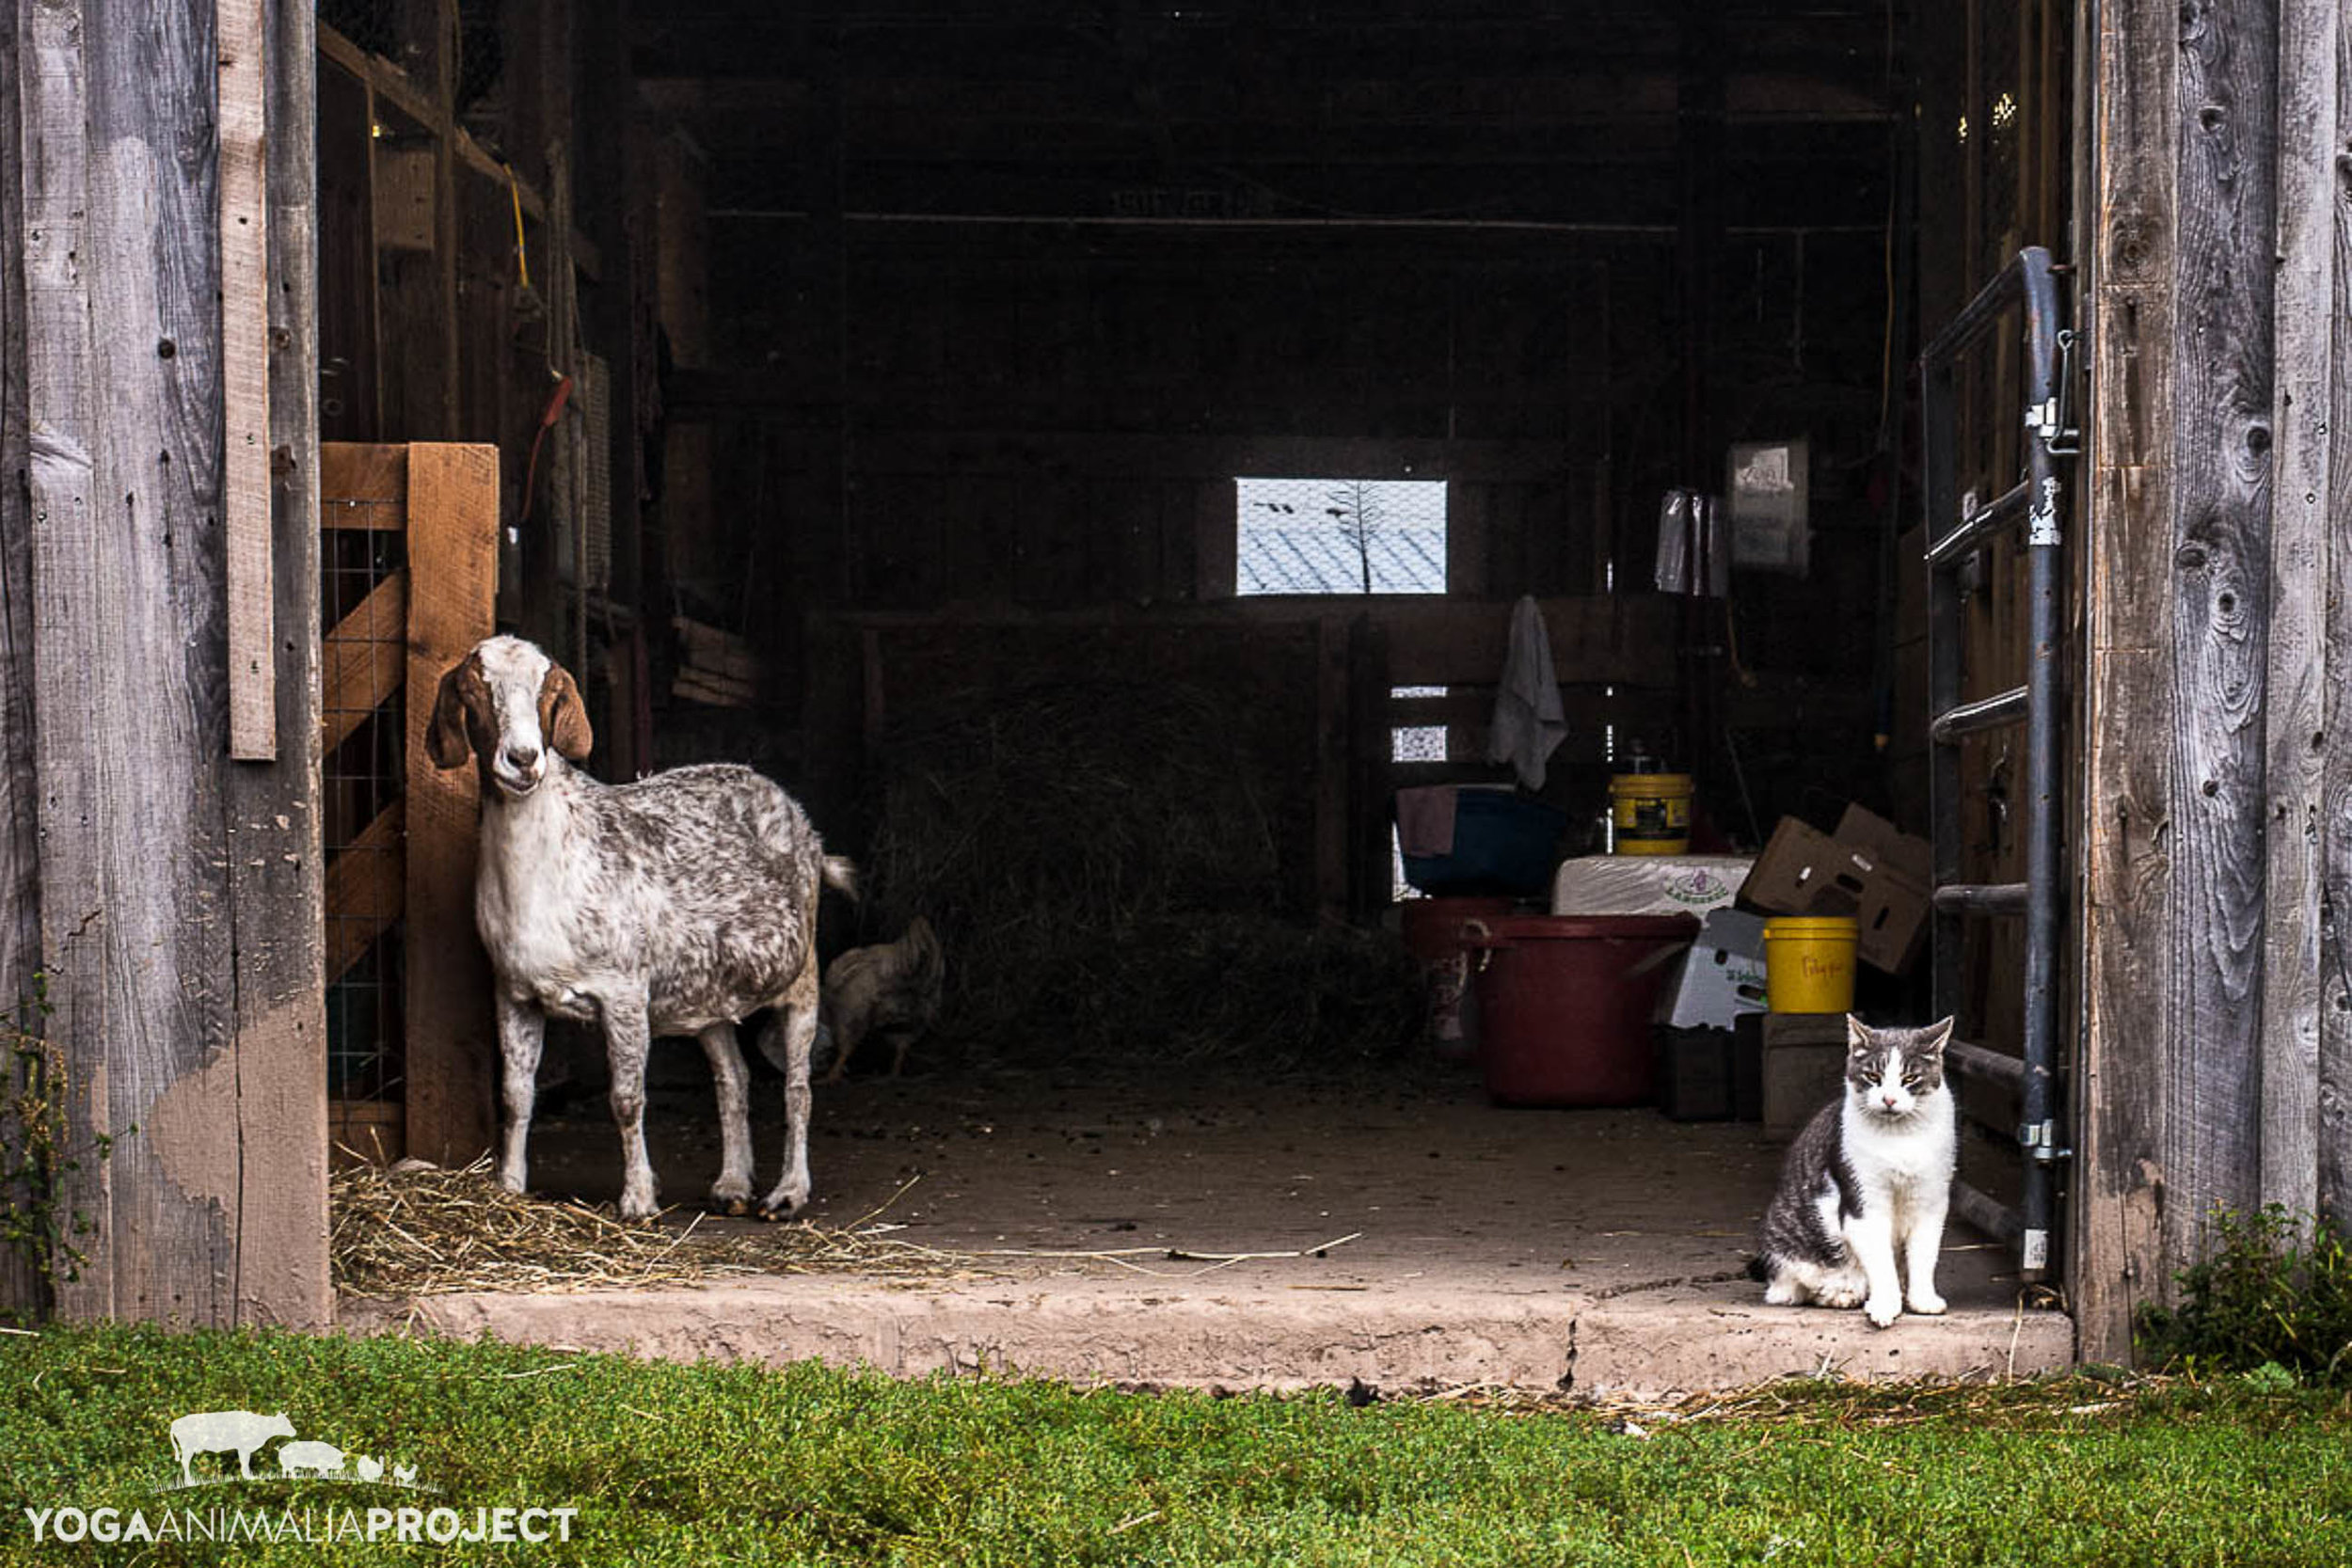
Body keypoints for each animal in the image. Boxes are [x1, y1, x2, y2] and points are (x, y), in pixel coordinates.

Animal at [433, 629, 856, 1222]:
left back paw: (788, 1192)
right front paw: (509, 1188)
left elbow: (626, 1099)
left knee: (797, 1087)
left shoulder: (625, 992)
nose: (523, 759)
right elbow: (516, 1095)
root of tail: (790, 808)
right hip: (709, 993)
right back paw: (732, 1184)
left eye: (549, 693)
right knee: (733, 1078)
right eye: (472, 690)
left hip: (803, 974)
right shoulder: (514, 993)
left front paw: (637, 1198)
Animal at [1750, 1020, 1966, 1325]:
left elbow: (1924, 1254)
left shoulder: (1930, 1199)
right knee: (1792, 1289)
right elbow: (1880, 1261)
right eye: (1873, 1075)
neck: (1900, 1137)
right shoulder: (1863, 1200)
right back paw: (1842, 1295)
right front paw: (1885, 1305)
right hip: (1789, 1238)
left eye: (1910, 1078)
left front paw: (1923, 1300)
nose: (1889, 1099)